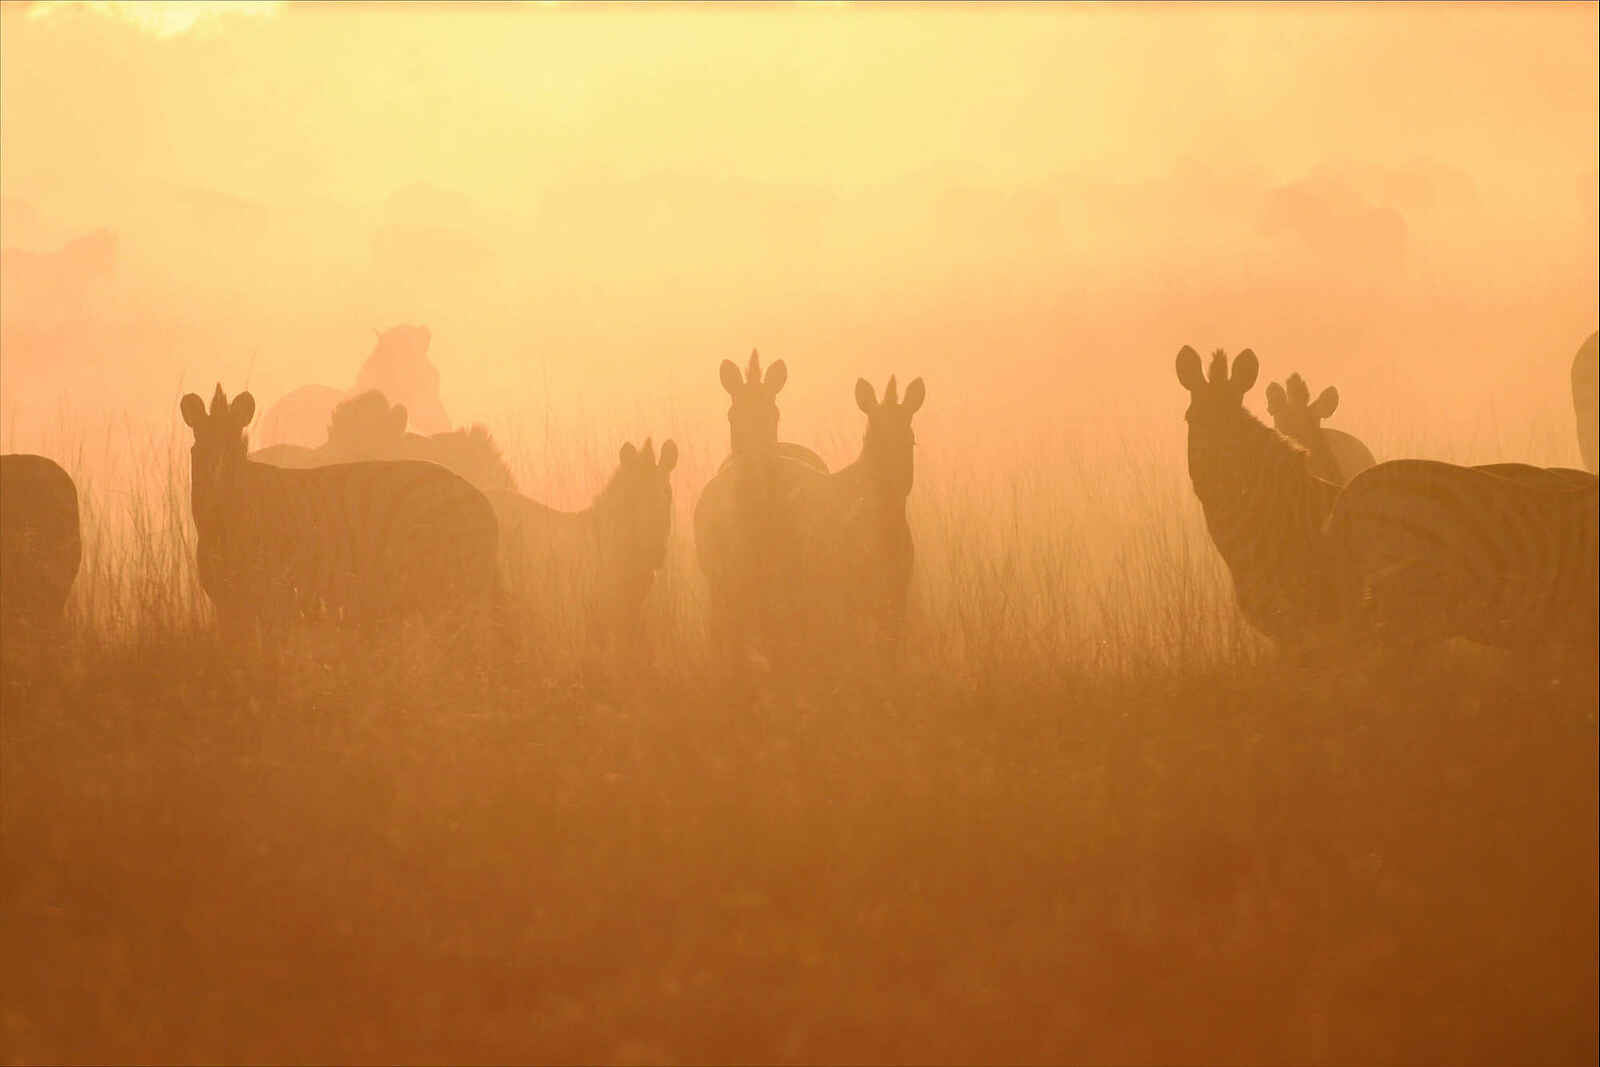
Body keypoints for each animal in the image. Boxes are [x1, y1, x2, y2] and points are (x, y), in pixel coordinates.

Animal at [181, 384, 499, 637]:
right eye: (197, 452)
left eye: (236, 452)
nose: (217, 496)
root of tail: (483, 502)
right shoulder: (231, 608)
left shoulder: (275, 601)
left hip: (448, 589)